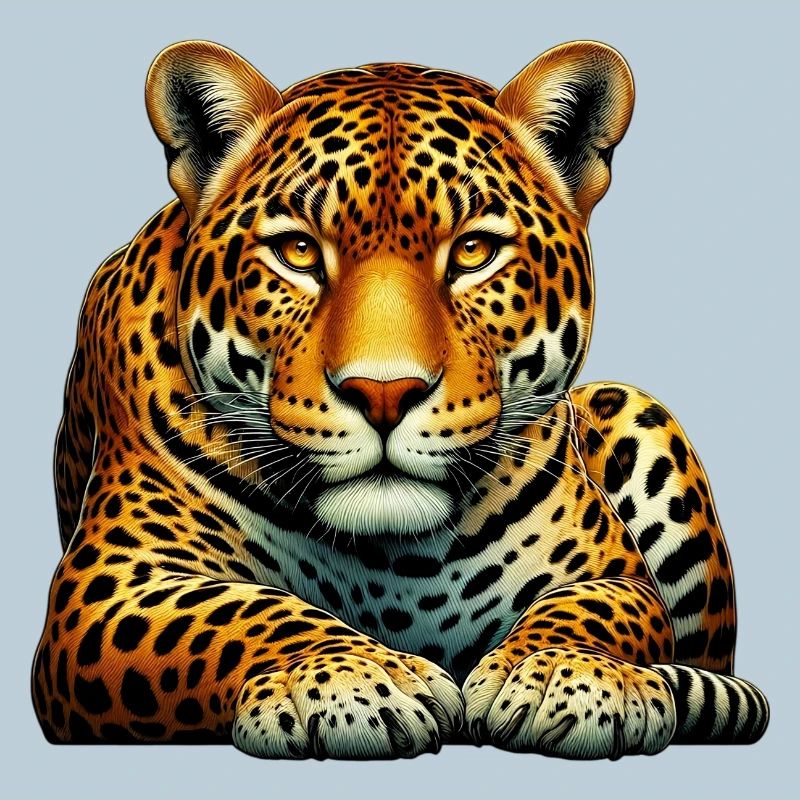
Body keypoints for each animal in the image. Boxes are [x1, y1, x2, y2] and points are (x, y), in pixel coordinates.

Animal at [32, 39, 769, 760]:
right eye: (297, 251)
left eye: (473, 251)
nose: (383, 394)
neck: (395, 559)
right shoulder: (108, 587)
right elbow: (233, 614)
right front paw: (351, 678)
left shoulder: (616, 574)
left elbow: (596, 609)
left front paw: (566, 673)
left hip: (636, 409)